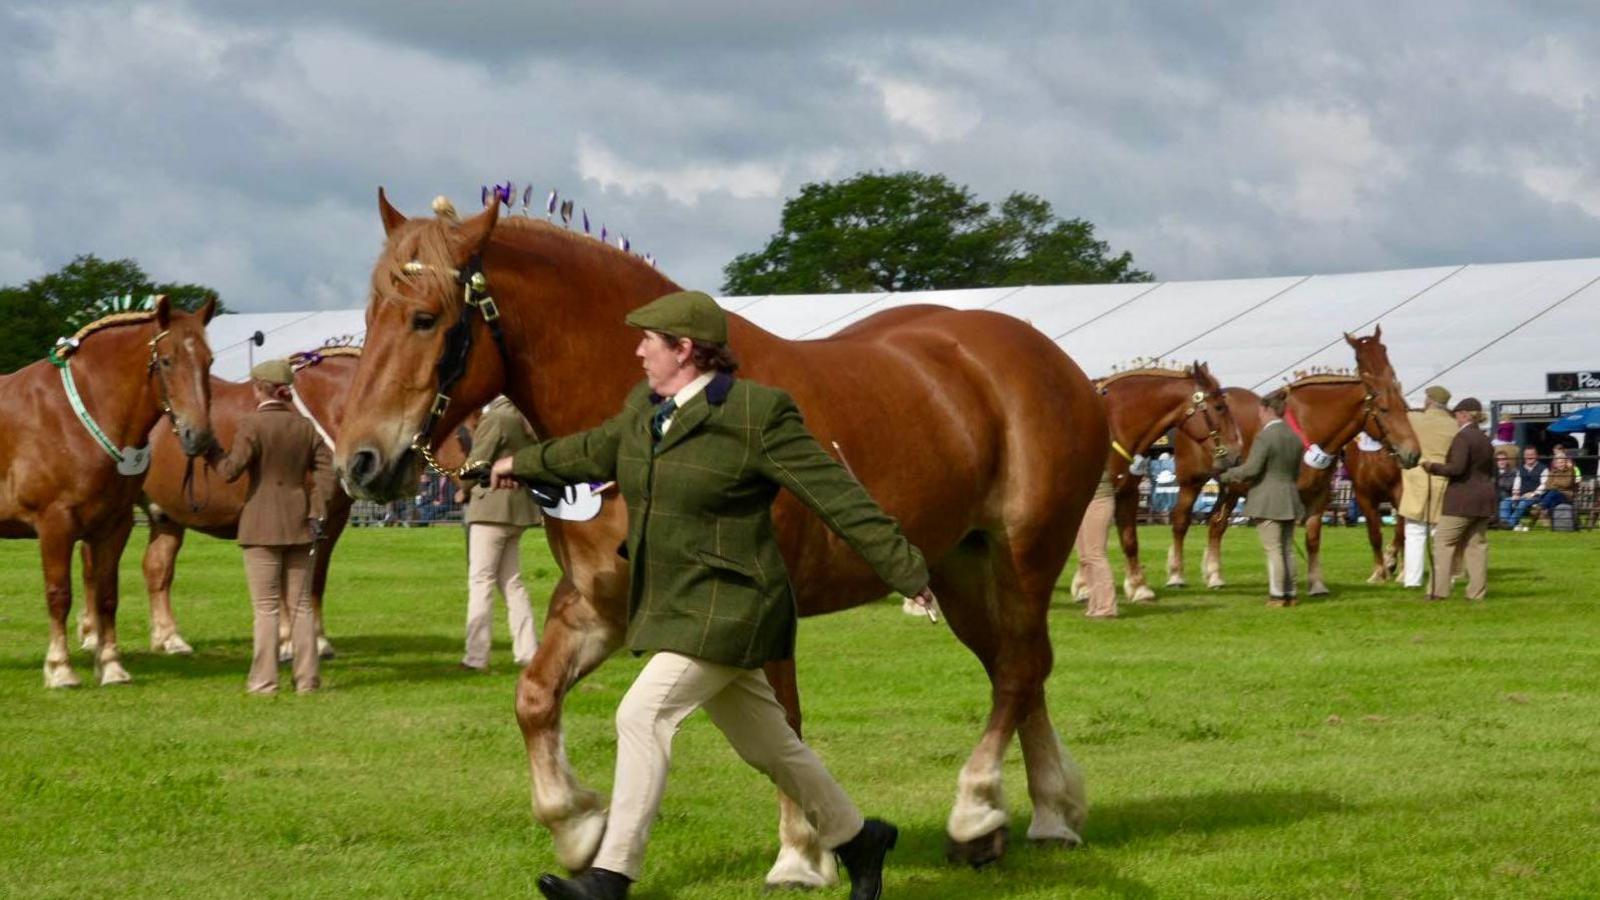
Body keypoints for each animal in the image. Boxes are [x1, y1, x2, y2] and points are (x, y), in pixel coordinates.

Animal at [0, 297, 216, 682]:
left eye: (209, 361)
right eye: (166, 360)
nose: (199, 436)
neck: (71, 418)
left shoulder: (114, 525)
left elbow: (106, 595)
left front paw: (112, 665)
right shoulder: (54, 523)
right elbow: (59, 594)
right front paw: (59, 669)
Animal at [79, 347, 364, 656]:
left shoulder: (332, 518)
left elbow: (315, 577)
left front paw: (317, 640)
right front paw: (289, 642)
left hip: (165, 516)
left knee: (156, 568)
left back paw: (169, 638)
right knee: (92, 564)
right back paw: (92, 634)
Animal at [334, 190, 1113, 883]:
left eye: (425, 318)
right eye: (369, 317)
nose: (359, 462)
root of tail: (1056, 364)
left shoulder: (767, 609)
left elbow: (784, 725)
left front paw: (802, 853)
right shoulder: (597, 608)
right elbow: (534, 698)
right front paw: (579, 825)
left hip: (1025, 558)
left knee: (1018, 670)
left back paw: (979, 808)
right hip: (956, 570)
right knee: (1019, 669)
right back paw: (1037, 816)